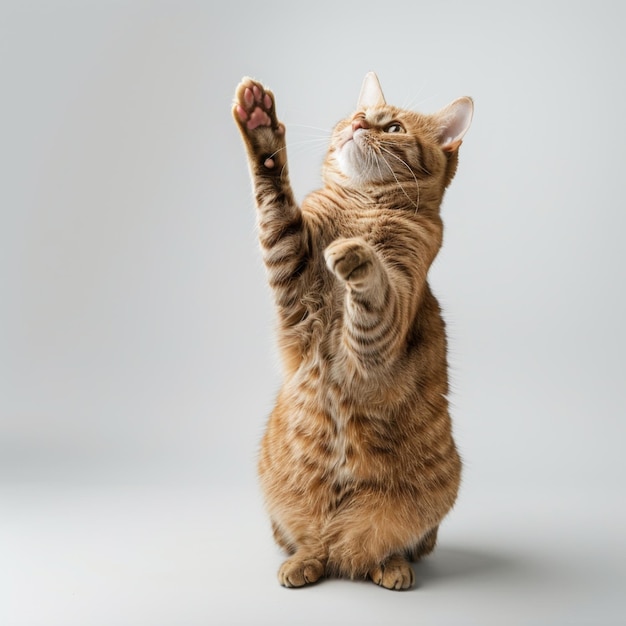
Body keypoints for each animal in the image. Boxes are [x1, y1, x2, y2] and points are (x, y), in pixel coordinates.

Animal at [232, 70, 470, 588]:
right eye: (358, 114)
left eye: (394, 127)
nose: (361, 123)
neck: (363, 206)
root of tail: (342, 551)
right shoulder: (292, 273)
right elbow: (275, 201)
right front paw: (261, 125)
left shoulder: (381, 332)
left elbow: (376, 289)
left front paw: (358, 254)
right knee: (312, 545)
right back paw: (303, 561)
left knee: (388, 546)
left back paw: (389, 566)